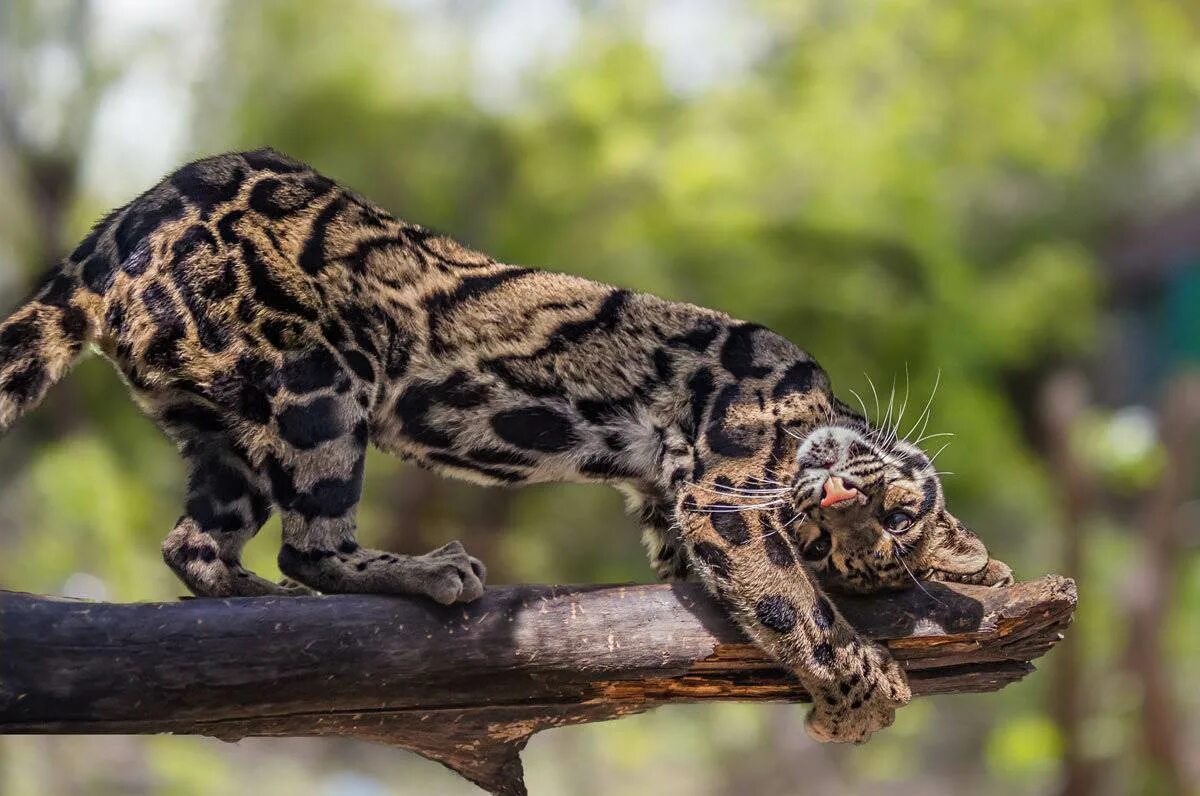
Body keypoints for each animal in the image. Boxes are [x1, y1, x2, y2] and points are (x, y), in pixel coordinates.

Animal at [0, 147, 1012, 739]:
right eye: (884, 509)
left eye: (866, 533)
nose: (837, 497)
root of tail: (125, 219)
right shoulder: (728, 488)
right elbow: (791, 604)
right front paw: (860, 689)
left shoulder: (677, 510)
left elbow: (757, 586)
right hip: (324, 381)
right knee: (310, 544)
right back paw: (430, 571)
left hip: (229, 429)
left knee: (200, 544)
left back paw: (252, 601)